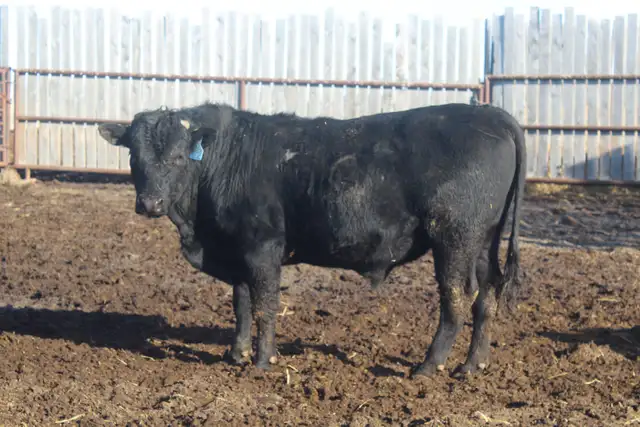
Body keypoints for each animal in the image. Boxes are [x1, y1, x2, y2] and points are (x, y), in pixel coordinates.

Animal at [97, 101, 526, 378]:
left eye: (178, 157)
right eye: (134, 156)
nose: (149, 203)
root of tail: (494, 114)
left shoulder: (263, 247)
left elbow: (265, 304)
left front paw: (261, 362)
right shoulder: (236, 248)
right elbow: (241, 304)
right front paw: (236, 353)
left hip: (454, 238)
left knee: (457, 298)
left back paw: (428, 366)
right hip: (483, 241)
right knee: (488, 295)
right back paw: (472, 365)